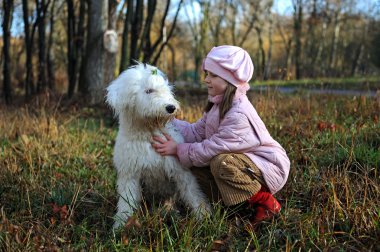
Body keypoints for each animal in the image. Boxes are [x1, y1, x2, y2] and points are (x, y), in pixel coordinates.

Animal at [105, 63, 209, 228]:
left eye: (165, 90)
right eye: (149, 90)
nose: (171, 107)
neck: (148, 135)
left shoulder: (180, 170)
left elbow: (192, 192)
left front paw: (203, 215)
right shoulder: (130, 173)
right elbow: (126, 201)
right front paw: (121, 224)